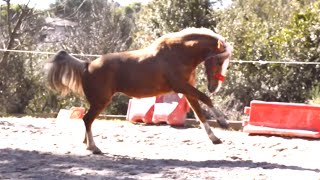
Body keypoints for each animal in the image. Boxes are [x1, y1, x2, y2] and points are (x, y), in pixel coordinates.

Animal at [45, 27, 231, 154]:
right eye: (219, 61)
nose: (214, 87)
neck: (178, 53)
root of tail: (87, 65)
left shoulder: (186, 91)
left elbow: (200, 113)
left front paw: (214, 138)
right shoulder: (181, 86)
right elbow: (206, 99)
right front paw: (223, 122)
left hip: (98, 102)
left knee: (88, 121)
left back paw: (87, 145)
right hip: (100, 102)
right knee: (87, 119)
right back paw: (94, 147)